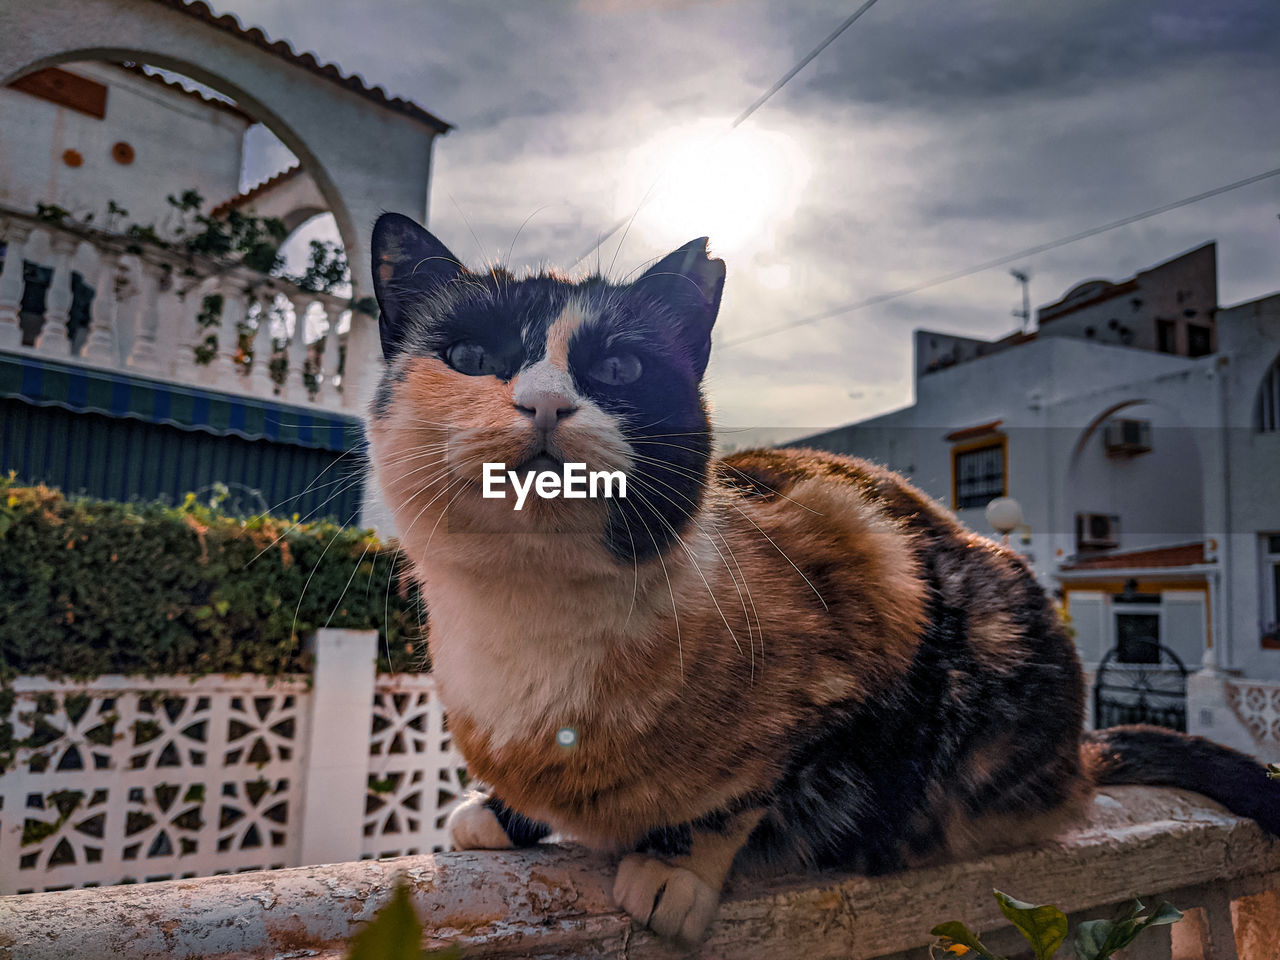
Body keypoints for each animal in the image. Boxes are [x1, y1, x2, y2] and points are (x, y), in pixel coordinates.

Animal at [366, 213, 1274, 942]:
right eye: (470, 356)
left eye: (618, 370)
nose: (546, 403)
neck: (534, 613)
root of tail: (1077, 753)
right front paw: (499, 814)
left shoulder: (867, 580)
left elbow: (745, 794)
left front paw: (674, 871)